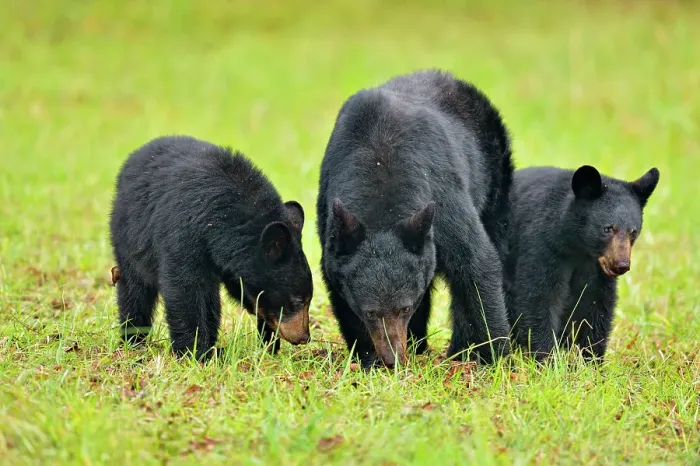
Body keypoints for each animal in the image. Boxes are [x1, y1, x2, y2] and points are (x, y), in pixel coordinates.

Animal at [109, 135, 313, 360]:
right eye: (297, 301)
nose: (304, 337)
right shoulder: (183, 231)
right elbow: (183, 288)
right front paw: (193, 352)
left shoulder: (229, 264)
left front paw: (268, 344)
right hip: (129, 236)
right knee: (135, 288)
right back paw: (134, 338)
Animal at [316, 69, 513, 368]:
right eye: (370, 312)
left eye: (404, 308)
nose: (393, 358)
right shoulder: (330, 221)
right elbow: (337, 287)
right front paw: (367, 356)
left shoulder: (444, 198)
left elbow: (476, 262)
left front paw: (492, 356)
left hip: (494, 176)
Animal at [503, 164, 660, 361]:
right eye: (607, 228)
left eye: (633, 232)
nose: (621, 265)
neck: (578, 248)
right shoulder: (542, 247)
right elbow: (540, 297)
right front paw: (547, 358)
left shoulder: (596, 268)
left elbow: (597, 304)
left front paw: (591, 359)